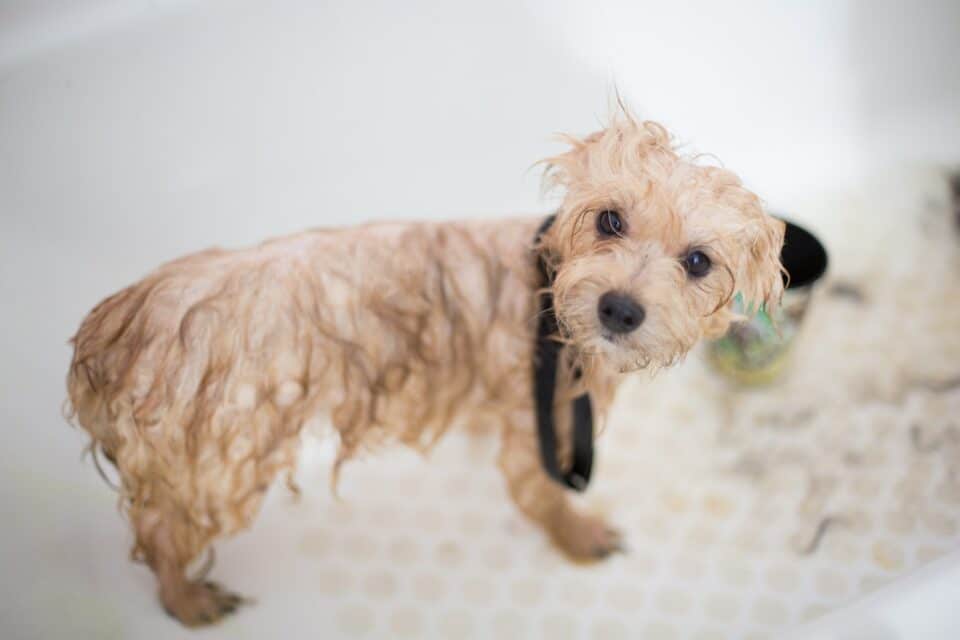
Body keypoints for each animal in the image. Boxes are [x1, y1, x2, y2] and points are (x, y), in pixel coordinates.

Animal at [67, 111, 788, 624]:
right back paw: (187, 601)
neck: (547, 295)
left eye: (697, 261)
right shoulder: (538, 420)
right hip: (217, 463)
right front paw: (579, 535)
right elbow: (542, 495)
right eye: (610, 219)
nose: (619, 307)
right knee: (161, 536)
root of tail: (110, 333)